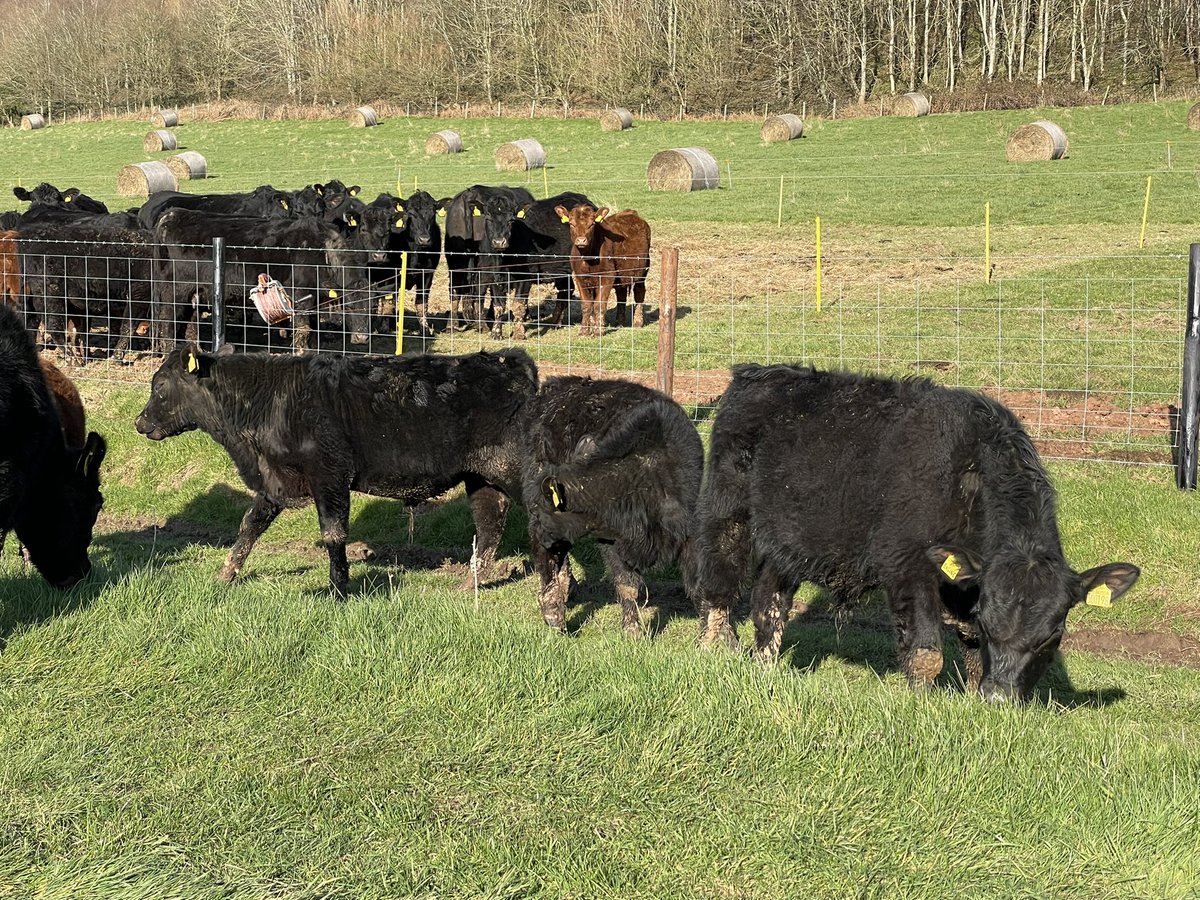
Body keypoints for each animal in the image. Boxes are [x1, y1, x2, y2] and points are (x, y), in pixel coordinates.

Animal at [135, 345, 538, 599]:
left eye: (160, 386)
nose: (140, 422)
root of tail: (508, 362)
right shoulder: (274, 481)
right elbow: (249, 525)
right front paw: (226, 574)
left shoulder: (329, 475)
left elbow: (333, 533)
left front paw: (338, 589)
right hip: (482, 479)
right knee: (489, 527)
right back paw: (468, 586)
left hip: (515, 471)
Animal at [524, 376, 703, 637]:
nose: (541, 530)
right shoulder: (613, 541)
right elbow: (628, 585)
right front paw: (633, 632)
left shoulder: (690, 530)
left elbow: (700, 587)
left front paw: (722, 639)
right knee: (549, 563)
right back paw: (554, 612)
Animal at [556, 203, 651, 336]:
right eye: (571, 223)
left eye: (592, 224)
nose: (581, 240)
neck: (588, 258)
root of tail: (631, 213)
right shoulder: (579, 277)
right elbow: (586, 305)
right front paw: (584, 331)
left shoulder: (607, 276)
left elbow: (599, 304)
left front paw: (598, 330)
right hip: (621, 275)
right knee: (621, 295)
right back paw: (619, 322)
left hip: (642, 270)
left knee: (639, 292)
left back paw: (637, 322)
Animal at [687, 364, 1142, 702]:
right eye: (992, 624)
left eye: (1053, 637)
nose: (999, 698)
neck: (968, 471)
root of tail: (757, 372)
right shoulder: (906, 563)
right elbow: (926, 654)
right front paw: (918, 705)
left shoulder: (966, 582)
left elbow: (970, 651)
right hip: (727, 515)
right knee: (719, 588)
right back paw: (715, 648)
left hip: (788, 541)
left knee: (769, 602)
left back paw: (765, 667)